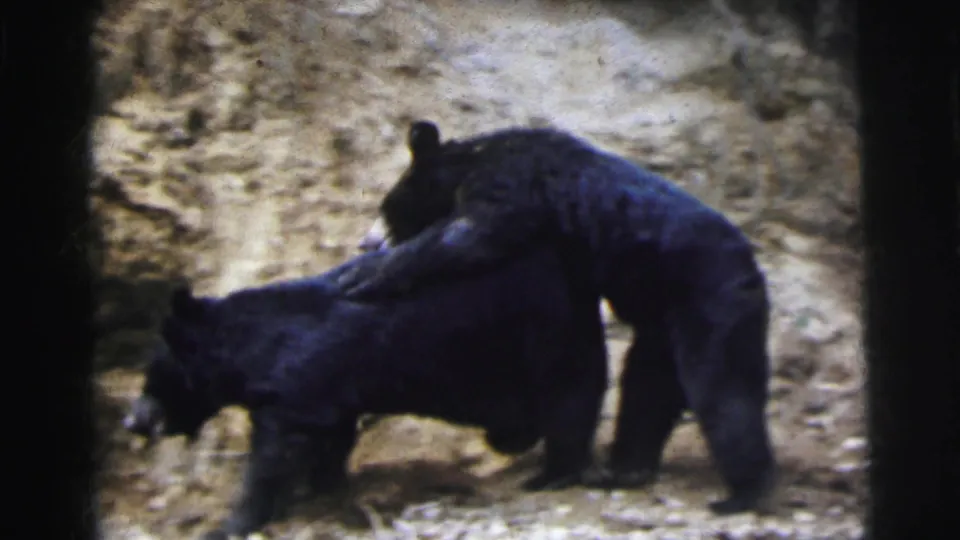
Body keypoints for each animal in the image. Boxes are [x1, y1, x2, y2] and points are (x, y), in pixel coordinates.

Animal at [125, 247, 608, 539]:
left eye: (156, 374)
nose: (132, 420)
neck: (250, 351)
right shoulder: (329, 395)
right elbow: (332, 440)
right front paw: (323, 491)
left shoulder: (299, 386)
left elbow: (274, 453)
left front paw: (230, 523)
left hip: (546, 339)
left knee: (569, 401)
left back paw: (550, 475)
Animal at [337, 120, 779, 515]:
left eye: (387, 209)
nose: (365, 241)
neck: (470, 161)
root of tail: (751, 270)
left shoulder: (511, 181)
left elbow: (469, 234)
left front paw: (358, 276)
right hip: (662, 318)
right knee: (647, 384)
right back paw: (627, 469)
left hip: (708, 297)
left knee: (723, 390)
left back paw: (742, 493)